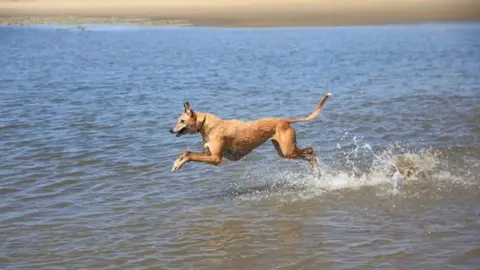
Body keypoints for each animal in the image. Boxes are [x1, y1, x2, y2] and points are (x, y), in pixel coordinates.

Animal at [171, 93, 332, 173]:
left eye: (181, 121)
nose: (170, 130)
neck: (207, 125)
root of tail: (285, 120)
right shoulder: (208, 154)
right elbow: (187, 152)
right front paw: (176, 162)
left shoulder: (216, 159)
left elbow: (190, 156)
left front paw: (178, 165)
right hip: (283, 152)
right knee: (308, 153)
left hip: (288, 151)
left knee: (310, 150)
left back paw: (316, 168)